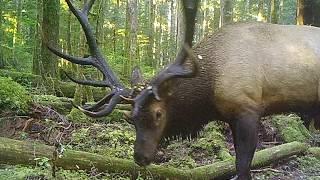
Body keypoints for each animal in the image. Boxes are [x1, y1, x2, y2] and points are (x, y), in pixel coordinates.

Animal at [47, 0, 320, 180]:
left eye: (158, 114)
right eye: (130, 118)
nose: (140, 157)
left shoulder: (248, 109)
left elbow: (243, 165)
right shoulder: (232, 116)